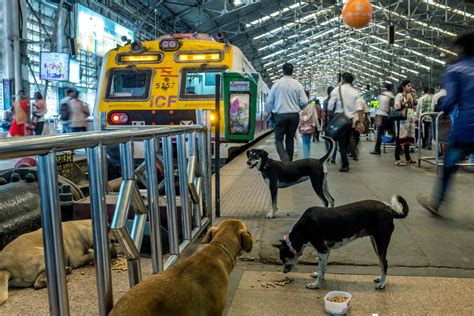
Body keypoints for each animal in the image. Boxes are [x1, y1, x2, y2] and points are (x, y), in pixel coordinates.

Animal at [272, 196, 410, 290]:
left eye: (284, 259)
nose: (283, 272)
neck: (303, 229)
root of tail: (389, 209)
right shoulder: (326, 249)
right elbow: (322, 267)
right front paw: (320, 277)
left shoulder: (322, 249)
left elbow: (320, 267)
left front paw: (316, 285)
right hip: (374, 241)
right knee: (382, 264)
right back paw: (380, 279)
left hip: (380, 241)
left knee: (384, 262)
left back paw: (382, 284)